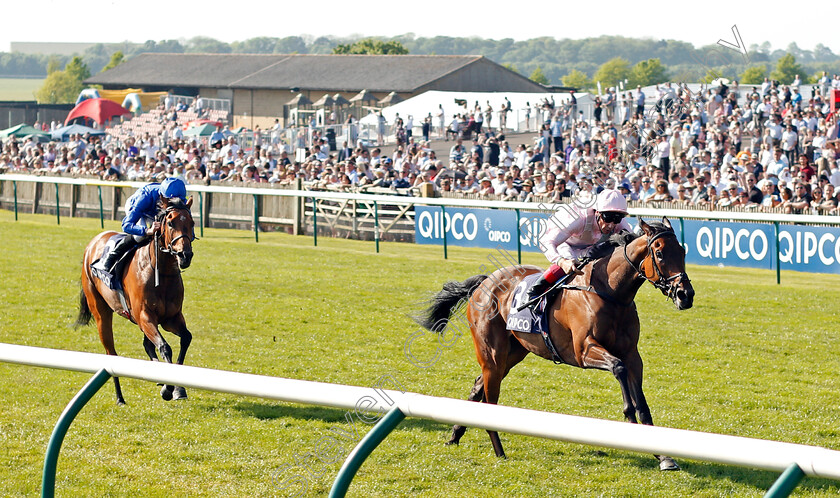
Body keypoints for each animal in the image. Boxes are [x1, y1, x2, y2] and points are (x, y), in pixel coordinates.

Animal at [74, 196, 195, 404]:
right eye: (170, 222)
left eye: (192, 223)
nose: (185, 255)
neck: (160, 273)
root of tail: (93, 243)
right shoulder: (145, 315)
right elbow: (164, 347)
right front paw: (168, 388)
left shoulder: (171, 318)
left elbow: (186, 338)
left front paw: (177, 388)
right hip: (101, 312)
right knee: (111, 353)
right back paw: (120, 397)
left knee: (147, 344)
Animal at [416, 219, 696, 470]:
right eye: (659, 253)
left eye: (683, 252)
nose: (686, 295)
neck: (610, 292)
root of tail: (484, 282)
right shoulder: (584, 351)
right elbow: (618, 369)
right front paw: (629, 420)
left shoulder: (632, 355)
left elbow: (641, 401)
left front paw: (663, 456)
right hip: (492, 355)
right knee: (490, 399)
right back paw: (499, 451)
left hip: (513, 353)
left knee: (478, 386)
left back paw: (455, 435)